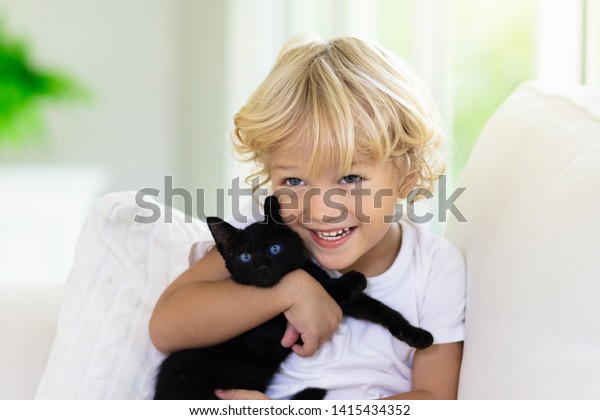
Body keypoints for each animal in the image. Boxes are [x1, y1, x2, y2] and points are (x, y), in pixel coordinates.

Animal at [154, 195, 432, 398]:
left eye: (275, 249)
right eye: (245, 257)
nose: (262, 269)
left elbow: (379, 309)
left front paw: (416, 334)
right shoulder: (272, 327)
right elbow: (327, 292)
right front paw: (356, 278)